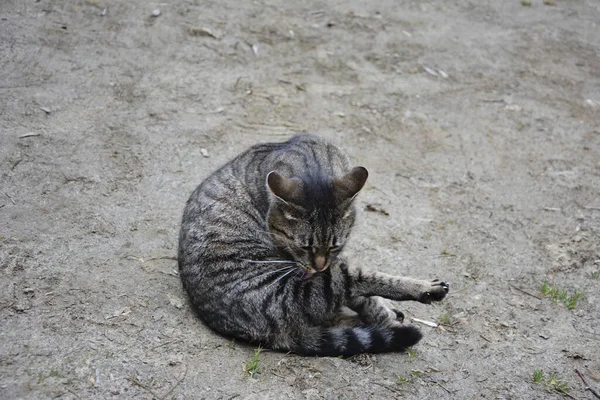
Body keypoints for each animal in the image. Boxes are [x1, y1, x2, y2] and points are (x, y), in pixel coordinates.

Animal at [179, 135, 450, 356]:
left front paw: (384, 311)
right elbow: (367, 288)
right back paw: (420, 294)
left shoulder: (335, 260)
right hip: (306, 290)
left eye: (333, 246)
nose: (318, 267)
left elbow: (362, 297)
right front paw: (391, 313)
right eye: (304, 247)